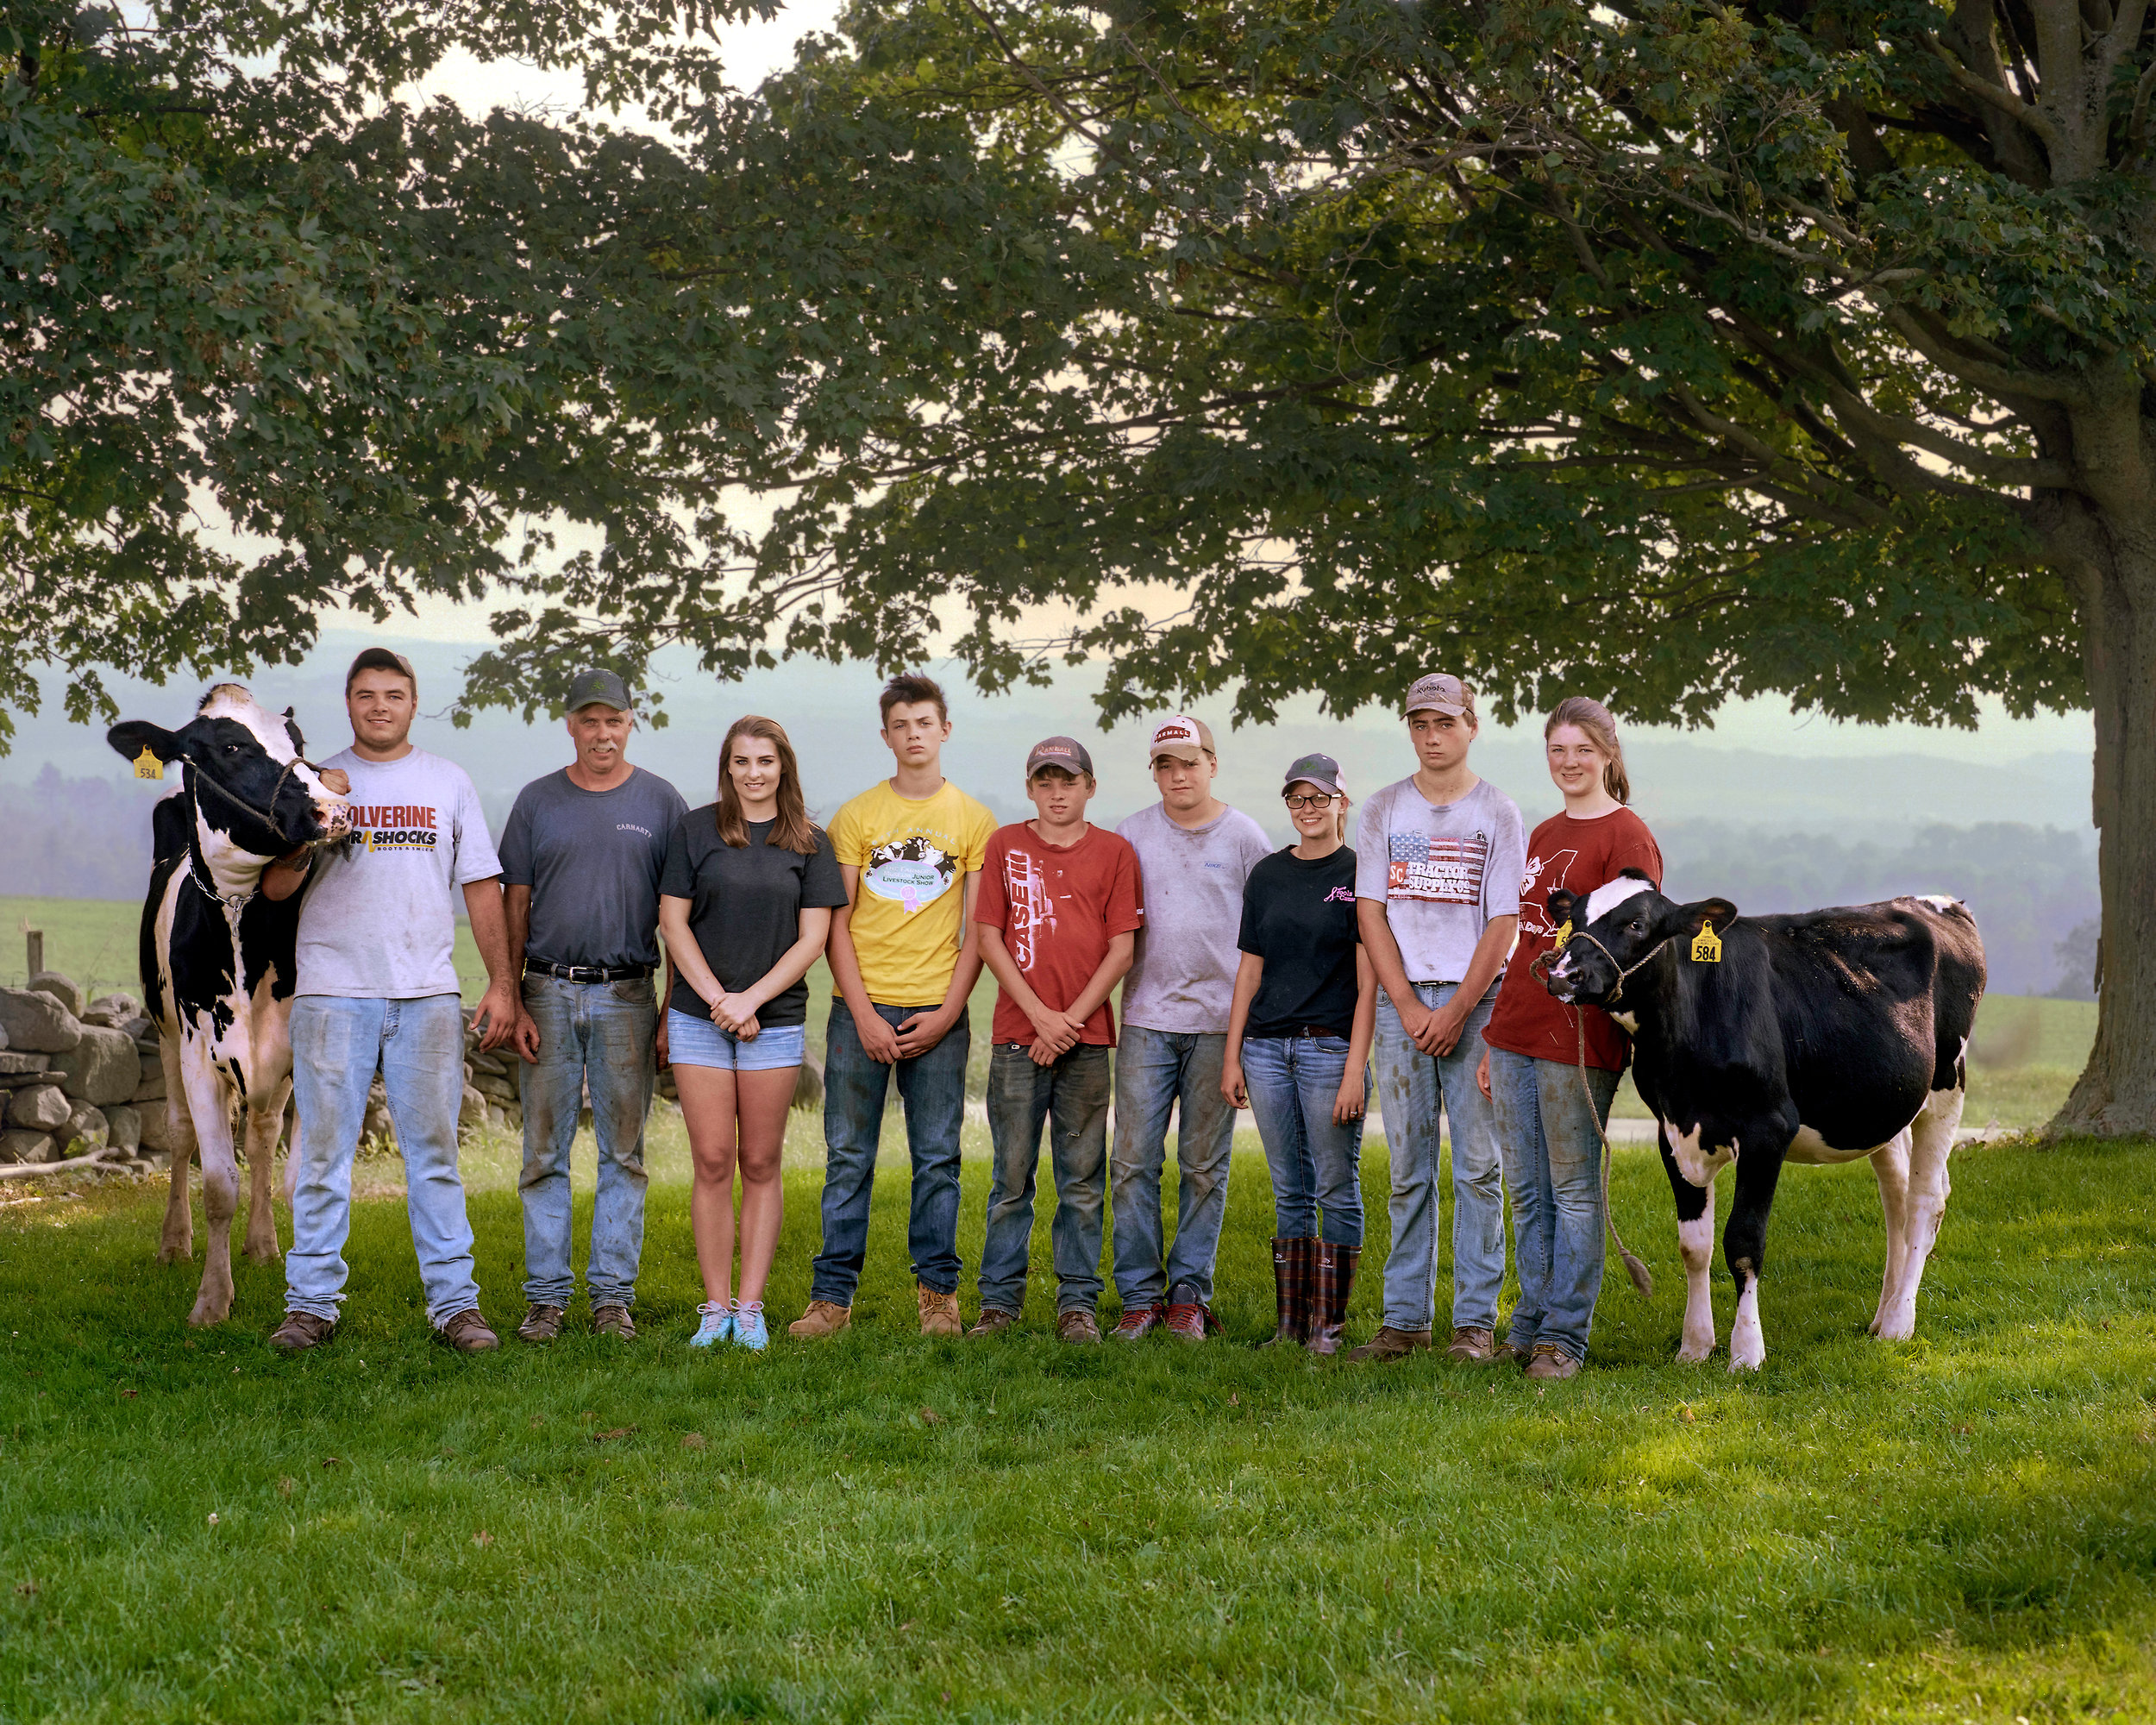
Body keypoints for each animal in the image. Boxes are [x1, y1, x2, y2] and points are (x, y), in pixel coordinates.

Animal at [104, 681, 347, 1328]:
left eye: (298, 740)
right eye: (231, 746)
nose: (332, 808)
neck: (242, 919)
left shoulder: (305, 1052)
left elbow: (294, 1178)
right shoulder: (197, 1056)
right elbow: (217, 1185)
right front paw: (212, 1299)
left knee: (261, 1138)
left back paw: (262, 1245)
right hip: (165, 1039)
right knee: (179, 1135)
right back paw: (174, 1244)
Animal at [1535, 875, 1984, 1371]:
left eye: (1636, 923)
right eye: (1575, 919)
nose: (1564, 974)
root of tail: (1939, 903)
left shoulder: (1767, 1132)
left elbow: (1744, 1243)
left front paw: (1747, 1351)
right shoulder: (1670, 1133)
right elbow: (1694, 1246)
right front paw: (1695, 1346)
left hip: (1947, 1085)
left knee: (1925, 1201)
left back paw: (1899, 1324)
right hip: (1886, 1109)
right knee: (1897, 1200)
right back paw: (1882, 1316)